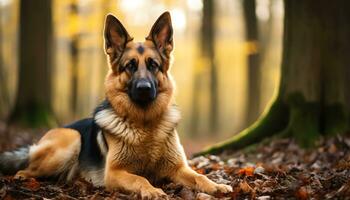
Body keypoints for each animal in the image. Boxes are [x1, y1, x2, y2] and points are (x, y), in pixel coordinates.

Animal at [0, 12, 232, 198]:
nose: (144, 88)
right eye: (130, 66)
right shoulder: (114, 173)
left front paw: (216, 185)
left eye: (153, 65)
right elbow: (140, 178)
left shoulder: (178, 168)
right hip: (71, 141)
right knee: (23, 171)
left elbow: (199, 176)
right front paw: (152, 190)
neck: (145, 126)